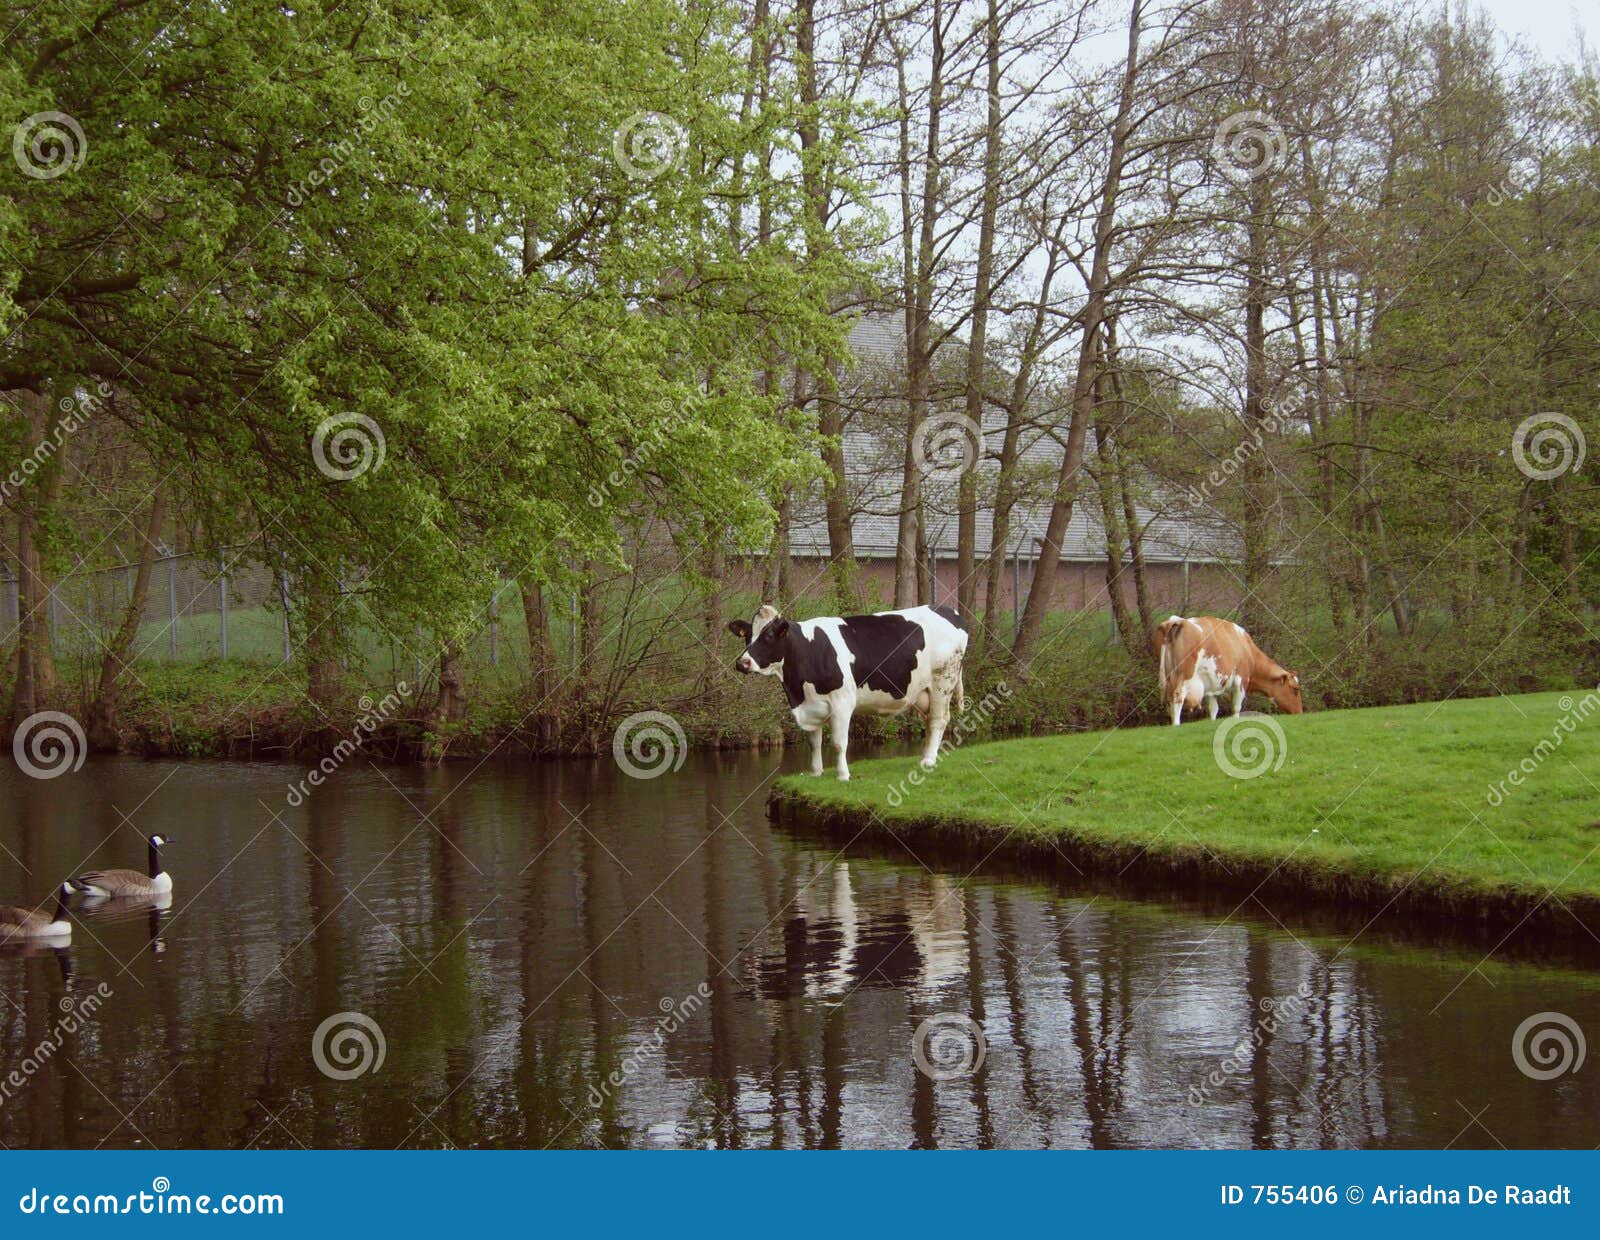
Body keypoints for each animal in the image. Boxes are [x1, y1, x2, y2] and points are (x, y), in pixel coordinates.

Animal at [732, 604, 966, 787]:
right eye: (748, 637)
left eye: (768, 636)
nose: (742, 663)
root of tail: (948, 610)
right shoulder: (810, 706)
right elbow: (814, 742)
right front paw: (816, 772)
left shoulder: (842, 703)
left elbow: (838, 742)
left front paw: (843, 775)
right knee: (930, 721)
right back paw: (924, 757)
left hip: (943, 680)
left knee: (938, 720)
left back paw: (929, 761)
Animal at [1158, 614, 1305, 723]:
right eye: (1295, 689)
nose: (1300, 712)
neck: (1247, 648)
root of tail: (1178, 621)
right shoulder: (1241, 680)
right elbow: (1236, 707)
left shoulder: (1211, 686)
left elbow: (1213, 709)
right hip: (1185, 676)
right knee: (1178, 696)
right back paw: (1176, 725)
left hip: (1168, 679)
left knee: (1169, 701)